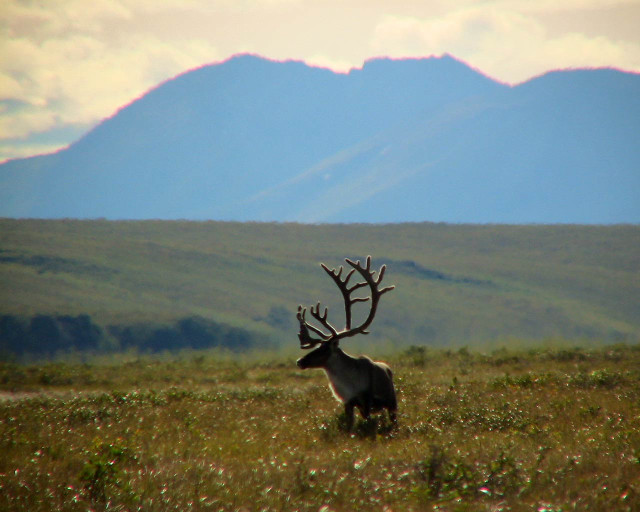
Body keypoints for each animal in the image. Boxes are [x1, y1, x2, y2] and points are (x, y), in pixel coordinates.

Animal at [296, 255, 397, 430]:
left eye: (325, 349)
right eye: (317, 346)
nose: (300, 361)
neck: (349, 385)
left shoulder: (367, 401)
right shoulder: (348, 403)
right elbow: (349, 425)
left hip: (392, 404)